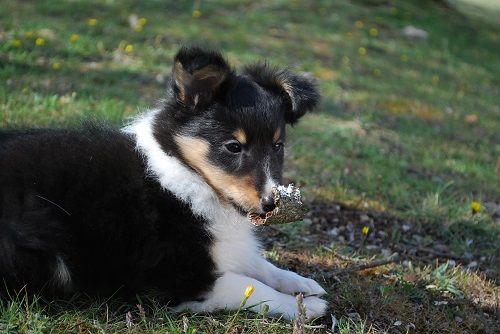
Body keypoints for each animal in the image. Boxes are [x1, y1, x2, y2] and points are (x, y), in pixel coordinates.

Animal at [0, 47, 326, 320]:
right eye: (233, 146)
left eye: (278, 146)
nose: (271, 204)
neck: (185, 174)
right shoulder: (177, 277)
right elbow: (248, 285)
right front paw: (306, 307)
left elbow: (258, 263)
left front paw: (302, 283)